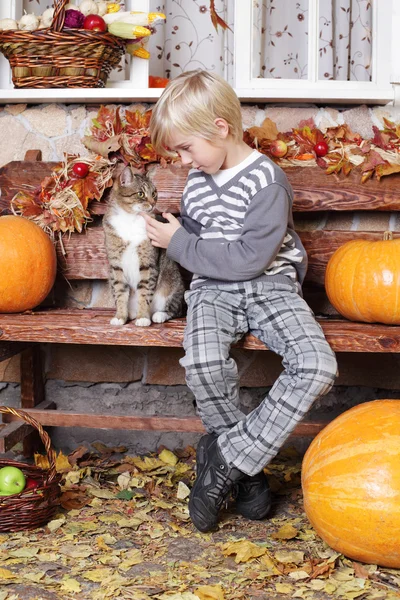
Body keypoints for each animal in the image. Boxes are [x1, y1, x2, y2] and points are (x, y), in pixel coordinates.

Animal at [103, 165, 184, 328]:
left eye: (154, 193)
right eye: (140, 194)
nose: (153, 203)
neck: (130, 219)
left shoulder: (148, 264)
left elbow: (145, 292)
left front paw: (143, 317)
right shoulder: (116, 266)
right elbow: (120, 292)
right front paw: (120, 316)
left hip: (172, 284)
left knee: (175, 309)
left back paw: (158, 315)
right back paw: (131, 313)